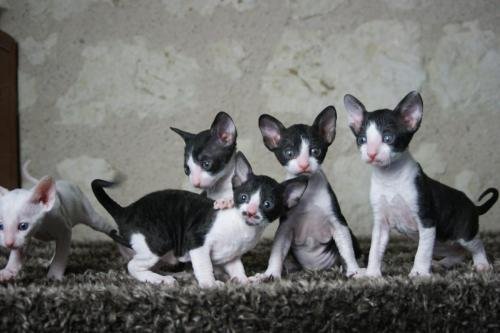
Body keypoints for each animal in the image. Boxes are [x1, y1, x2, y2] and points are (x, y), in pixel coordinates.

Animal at [91, 152, 306, 286]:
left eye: (267, 204)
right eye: (244, 197)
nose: (251, 212)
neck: (243, 229)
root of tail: (126, 210)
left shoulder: (231, 256)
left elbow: (237, 268)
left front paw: (244, 281)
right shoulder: (195, 242)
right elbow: (205, 266)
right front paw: (210, 284)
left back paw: (173, 274)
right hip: (157, 241)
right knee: (132, 266)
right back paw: (160, 280)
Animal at [254, 106, 364, 280]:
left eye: (316, 151)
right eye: (289, 153)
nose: (304, 164)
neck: (308, 189)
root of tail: (315, 270)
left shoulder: (339, 224)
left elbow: (347, 251)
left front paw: (354, 271)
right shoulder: (284, 229)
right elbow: (276, 253)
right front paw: (270, 274)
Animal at [346, 91, 498, 278]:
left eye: (388, 138)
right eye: (362, 140)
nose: (371, 153)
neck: (390, 179)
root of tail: (473, 205)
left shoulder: (427, 221)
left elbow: (422, 252)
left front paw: (419, 273)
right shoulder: (381, 223)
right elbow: (375, 249)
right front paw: (371, 273)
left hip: (463, 233)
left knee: (476, 244)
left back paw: (482, 264)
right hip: (441, 241)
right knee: (457, 251)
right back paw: (442, 264)